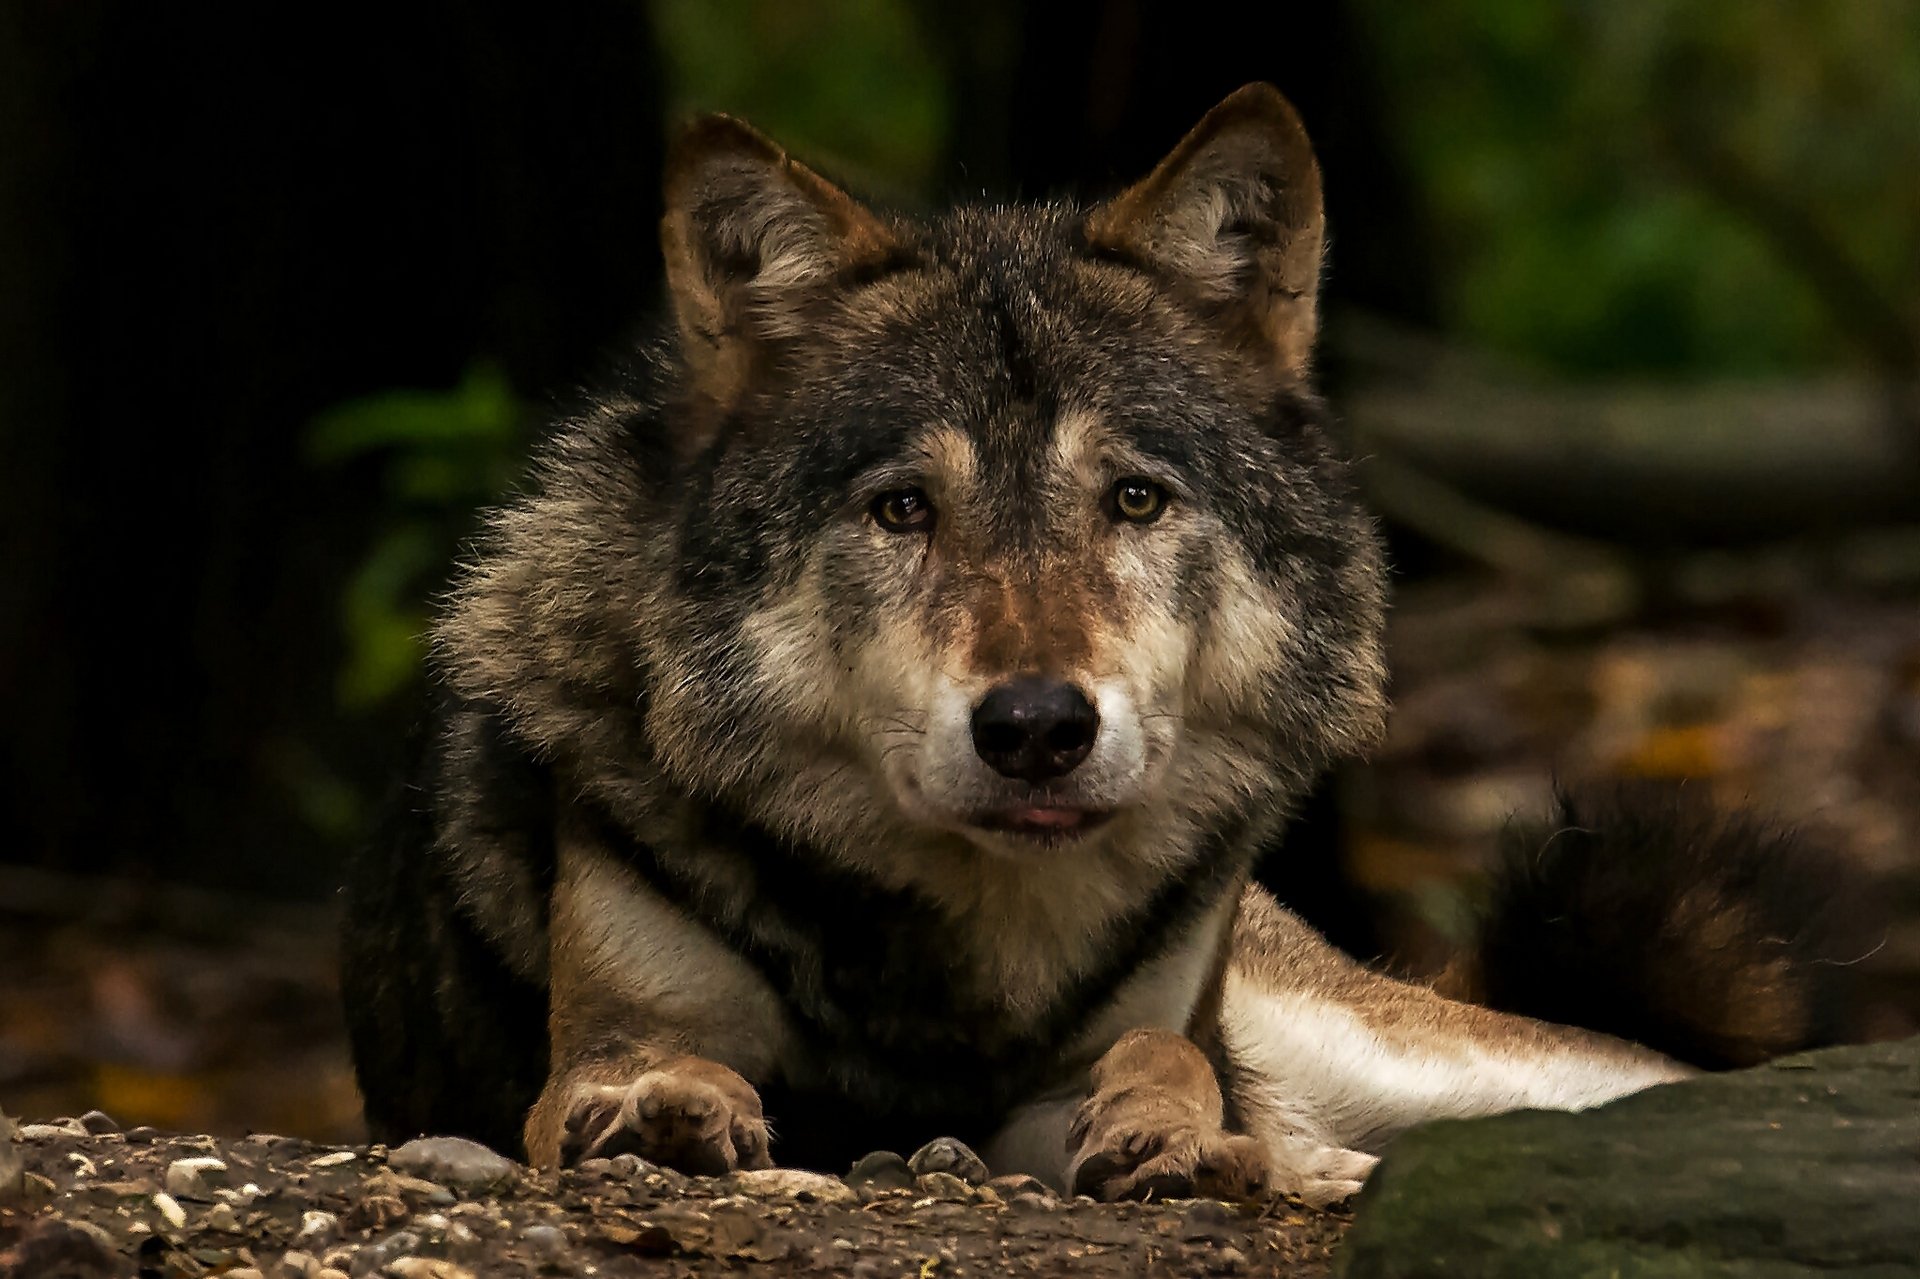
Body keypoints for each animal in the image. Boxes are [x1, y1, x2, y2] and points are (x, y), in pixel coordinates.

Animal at [341, 84, 1862, 1205]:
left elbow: (1159, 1058)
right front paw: (668, 1108)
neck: (962, 953)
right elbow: (633, 1074)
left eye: (1133, 497)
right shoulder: (598, 1040)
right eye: (904, 508)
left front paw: (1181, 1131)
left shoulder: (1105, 1050)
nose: (1035, 726)